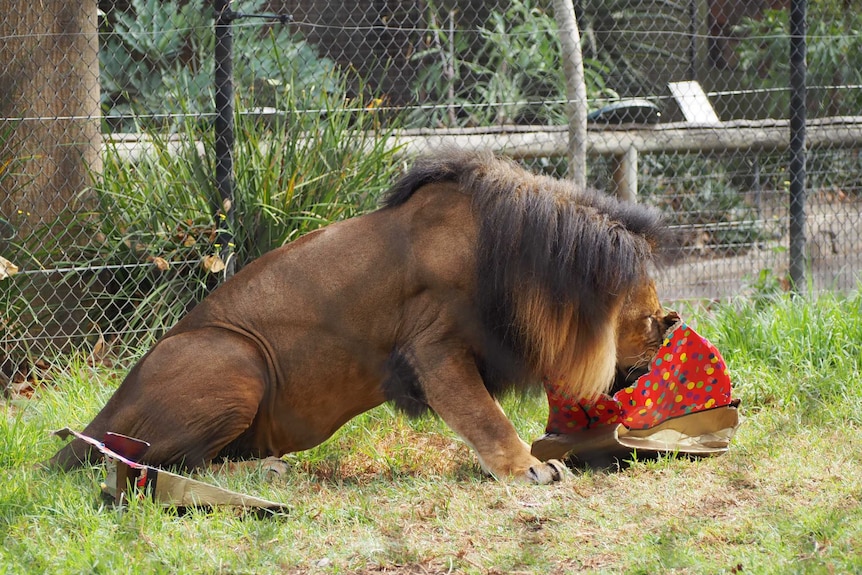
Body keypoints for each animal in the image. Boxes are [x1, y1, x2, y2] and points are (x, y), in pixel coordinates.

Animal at [52, 151, 676, 484]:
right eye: (648, 318)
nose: (672, 323)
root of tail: (97, 419)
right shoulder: (434, 347)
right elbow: (486, 417)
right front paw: (528, 469)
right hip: (236, 356)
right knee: (165, 466)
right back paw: (265, 472)